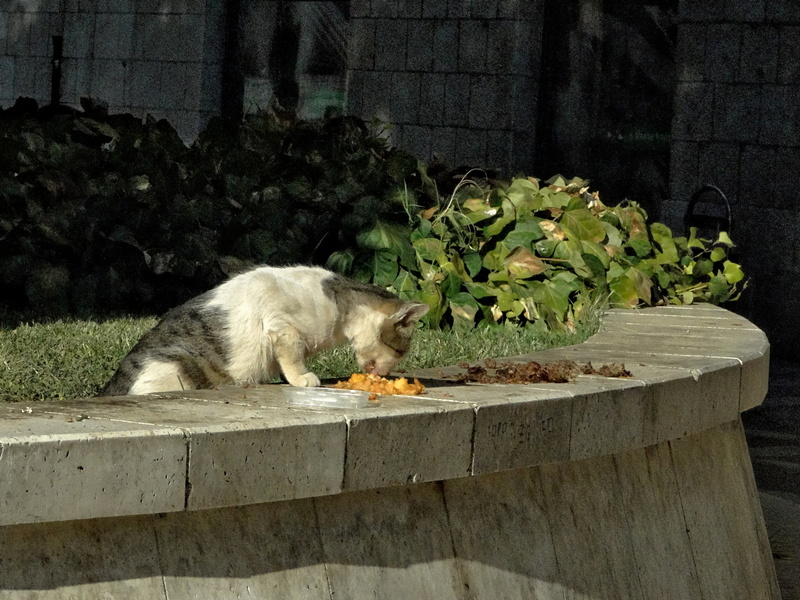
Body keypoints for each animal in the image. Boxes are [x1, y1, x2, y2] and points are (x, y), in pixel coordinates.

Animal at [99, 264, 428, 396]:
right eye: (401, 351)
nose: (386, 374)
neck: (339, 300)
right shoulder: (281, 326)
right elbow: (292, 357)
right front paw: (302, 378)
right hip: (177, 367)